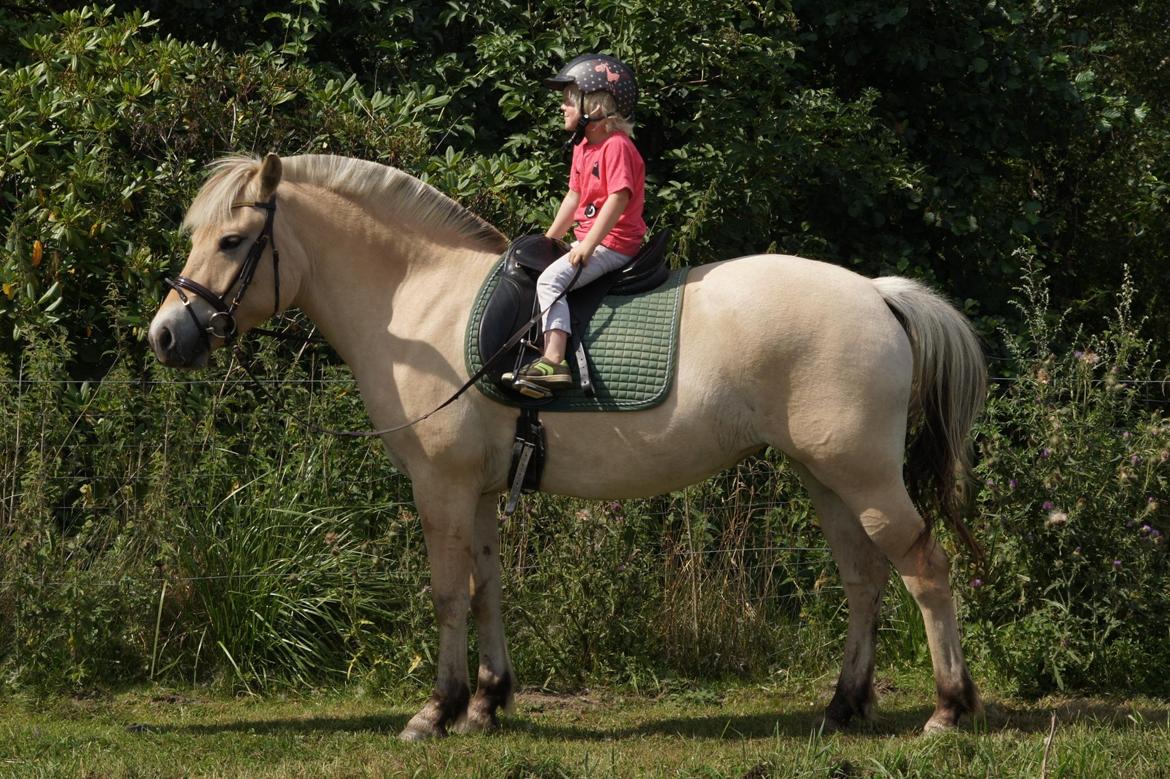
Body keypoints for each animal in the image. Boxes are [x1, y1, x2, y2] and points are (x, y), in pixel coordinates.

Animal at [146, 153, 987, 739]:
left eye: (232, 239)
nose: (166, 334)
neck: (417, 300)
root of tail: (877, 293)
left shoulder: (441, 485)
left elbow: (448, 592)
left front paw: (437, 709)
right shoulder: (481, 489)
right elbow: (486, 588)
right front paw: (486, 702)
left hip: (864, 476)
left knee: (926, 571)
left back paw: (947, 709)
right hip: (824, 476)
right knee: (864, 578)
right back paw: (843, 705)